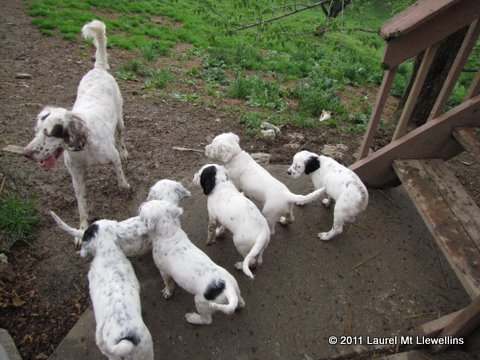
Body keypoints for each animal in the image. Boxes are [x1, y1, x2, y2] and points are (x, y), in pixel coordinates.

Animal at [23, 19, 129, 235]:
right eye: (37, 131)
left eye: (49, 133)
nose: (26, 153)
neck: (83, 146)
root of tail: (98, 69)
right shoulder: (76, 175)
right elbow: (81, 205)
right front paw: (82, 228)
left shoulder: (112, 157)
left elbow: (120, 177)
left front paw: (125, 186)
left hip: (120, 118)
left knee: (121, 135)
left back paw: (124, 150)